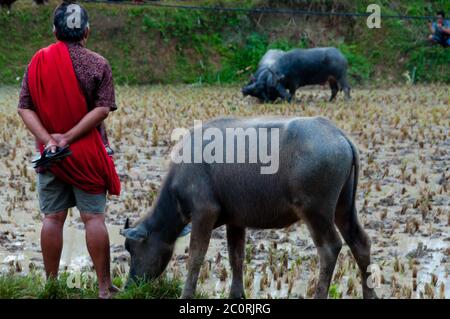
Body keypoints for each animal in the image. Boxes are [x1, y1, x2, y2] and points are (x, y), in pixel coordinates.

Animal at [120, 117, 376, 300]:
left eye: (131, 248)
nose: (130, 285)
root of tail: (339, 135)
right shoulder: (236, 221)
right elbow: (236, 256)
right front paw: (236, 294)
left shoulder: (204, 214)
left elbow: (195, 256)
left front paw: (186, 294)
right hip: (344, 207)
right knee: (360, 242)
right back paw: (369, 294)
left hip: (316, 212)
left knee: (329, 248)